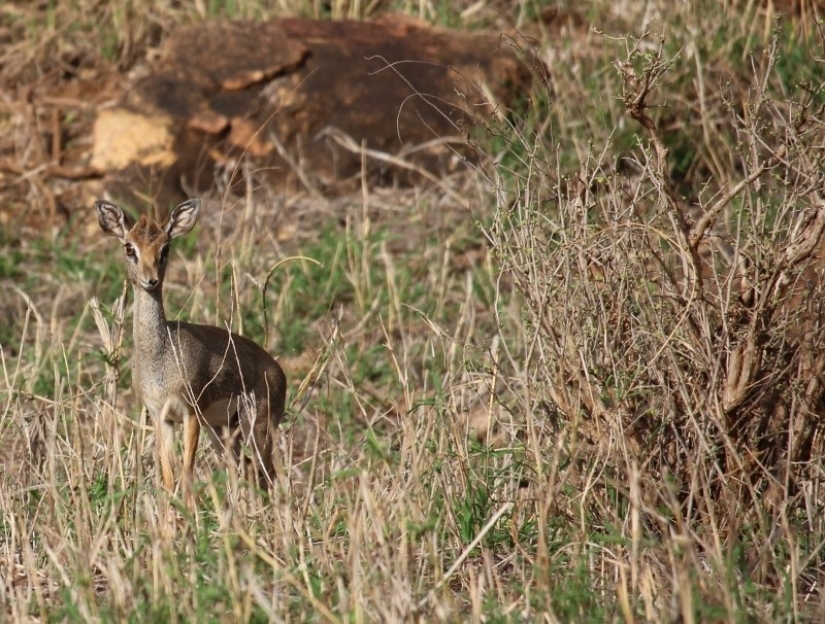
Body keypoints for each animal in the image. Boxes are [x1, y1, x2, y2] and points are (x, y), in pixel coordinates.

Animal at [95, 198, 286, 502]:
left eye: (165, 247)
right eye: (129, 247)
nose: (151, 280)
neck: (160, 356)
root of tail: (280, 373)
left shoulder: (190, 412)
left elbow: (186, 475)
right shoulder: (160, 416)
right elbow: (168, 479)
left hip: (257, 427)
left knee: (269, 476)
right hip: (223, 431)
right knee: (246, 471)